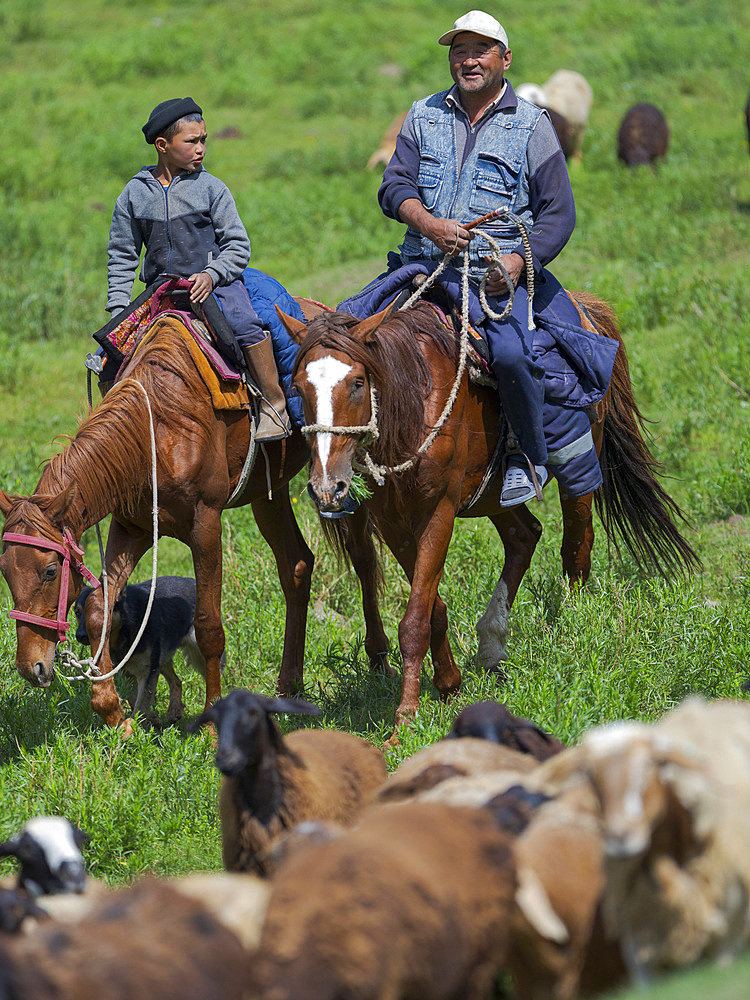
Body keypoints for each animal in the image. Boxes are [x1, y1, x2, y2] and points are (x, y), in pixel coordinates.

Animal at [74, 580, 217, 728]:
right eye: (77, 612)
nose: (80, 636)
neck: (126, 624)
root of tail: (192, 581)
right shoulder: (128, 672)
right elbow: (134, 699)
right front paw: (149, 720)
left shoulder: (148, 671)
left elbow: (142, 702)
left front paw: (137, 729)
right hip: (162, 659)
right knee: (176, 681)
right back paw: (174, 709)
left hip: (199, 654)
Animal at [282, 292, 700, 732]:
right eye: (298, 387)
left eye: (358, 383)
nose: (327, 487)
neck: (415, 405)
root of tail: (585, 306)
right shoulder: (393, 521)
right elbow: (431, 607)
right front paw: (449, 685)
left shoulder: (437, 513)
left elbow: (414, 620)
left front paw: (405, 719)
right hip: (491, 493)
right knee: (524, 535)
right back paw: (493, 643)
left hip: (582, 458)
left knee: (577, 544)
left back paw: (575, 627)